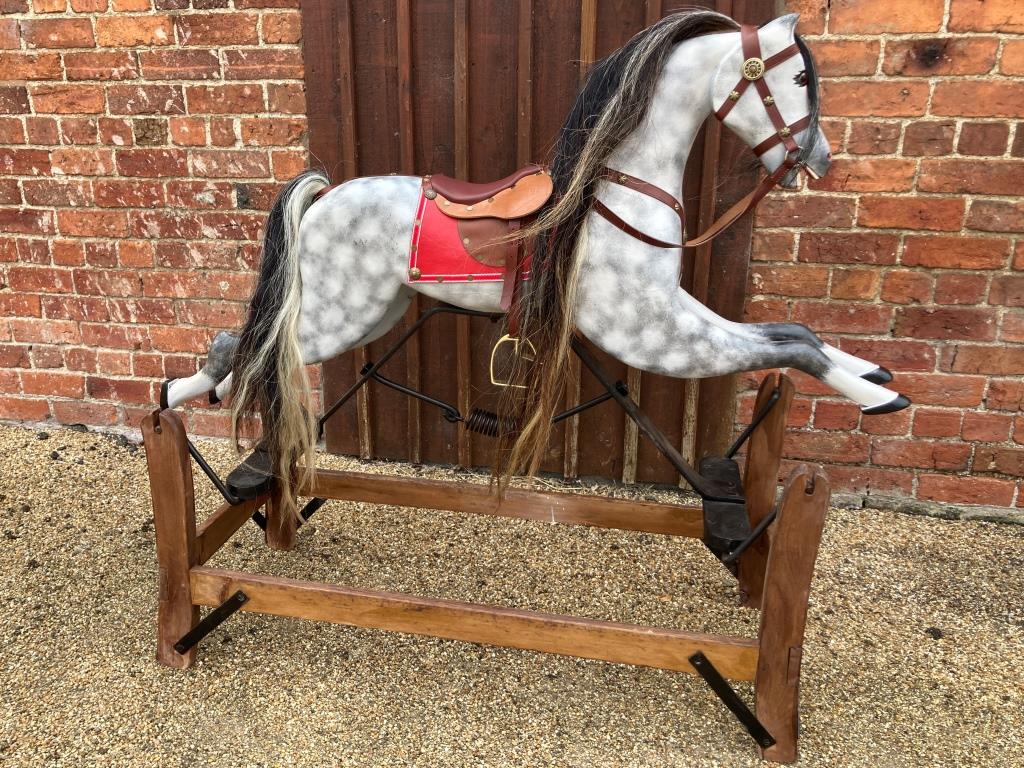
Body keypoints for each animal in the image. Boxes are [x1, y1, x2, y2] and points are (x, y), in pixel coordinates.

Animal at [161, 10, 910, 514]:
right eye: (800, 75)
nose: (818, 159)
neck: (611, 192)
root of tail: (320, 198)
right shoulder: (657, 333)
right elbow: (790, 344)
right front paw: (879, 396)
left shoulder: (673, 315)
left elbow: (794, 333)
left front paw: (876, 376)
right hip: (337, 314)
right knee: (242, 346)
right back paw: (174, 404)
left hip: (373, 312)